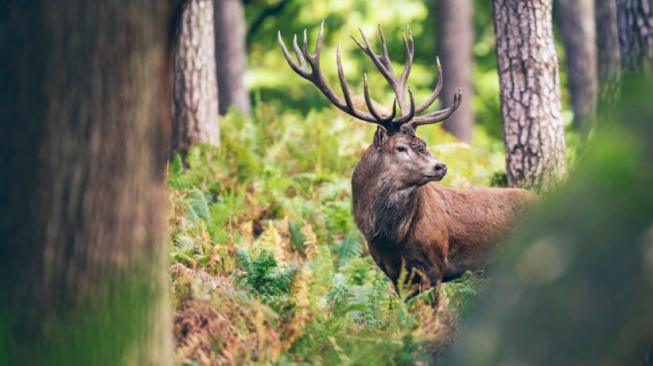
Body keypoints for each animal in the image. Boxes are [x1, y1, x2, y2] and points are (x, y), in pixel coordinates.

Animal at [278, 22, 536, 304]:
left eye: (424, 143)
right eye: (401, 147)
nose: (441, 166)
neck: (391, 238)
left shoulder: (435, 264)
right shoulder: (393, 273)